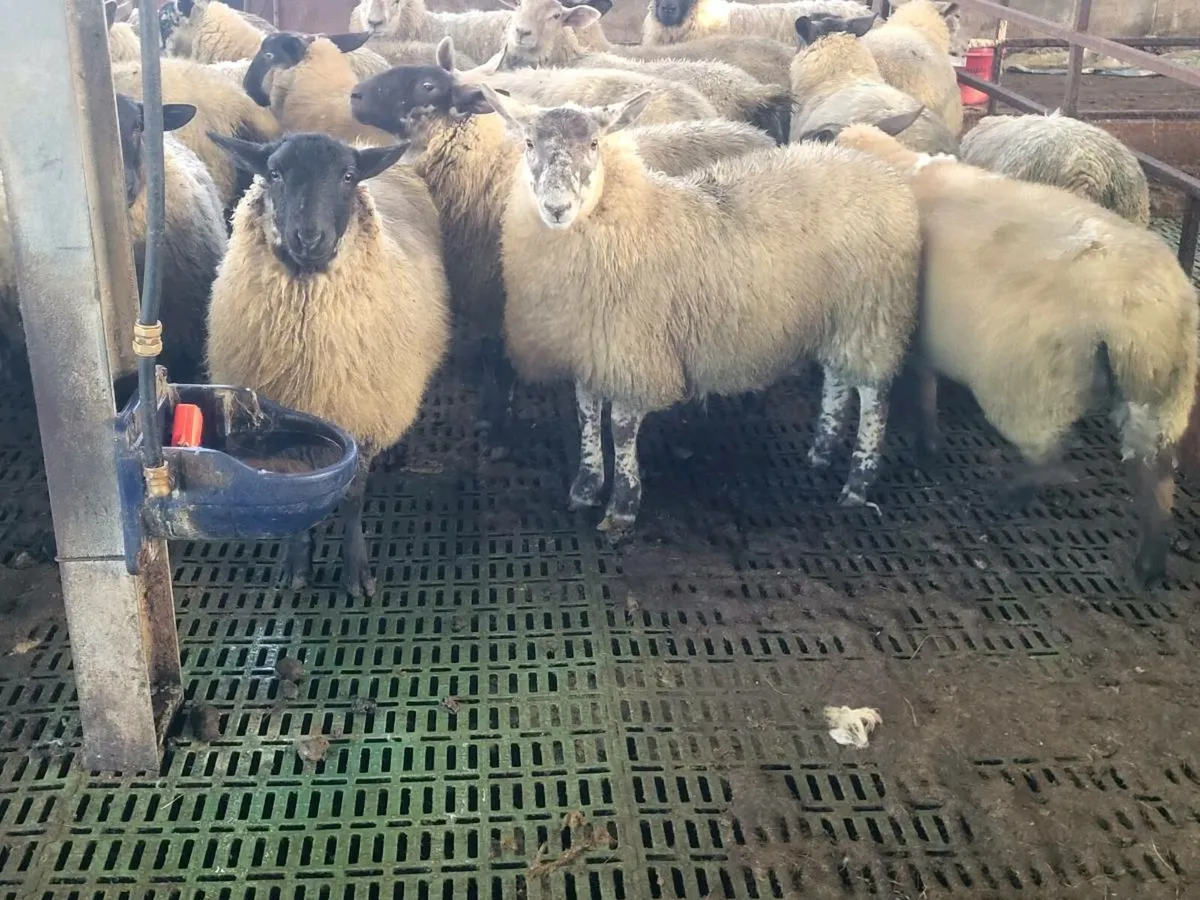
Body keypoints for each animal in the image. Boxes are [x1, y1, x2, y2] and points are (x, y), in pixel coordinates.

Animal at [206, 131, 451, 597]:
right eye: (275, 173)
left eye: (348, 176)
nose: (308, 237)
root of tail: (367, 142)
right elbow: (297, 494)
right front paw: (296, 563)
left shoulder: (363, 415)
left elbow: (352, 498)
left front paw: (357, 572)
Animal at [350, 38, 775, 450]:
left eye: (427, 86)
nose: (354, 95)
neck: (482, 166)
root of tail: (760, 136)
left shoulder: (506, 295)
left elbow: (499, 362)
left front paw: (497, 425)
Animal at [480, 84, 920, 536]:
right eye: (529, 143)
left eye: (594, 143)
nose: (556, 207)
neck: (632, 216)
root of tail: (874, 168)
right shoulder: (589, 346)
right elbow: (587, 413)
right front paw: (585, 487)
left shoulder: (634, 350)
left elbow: (620, 426)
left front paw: (622, 507)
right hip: (839, 314)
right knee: (836, 377)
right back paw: (821, 452)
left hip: (873, 312)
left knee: (873, 395)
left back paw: (857, 483)